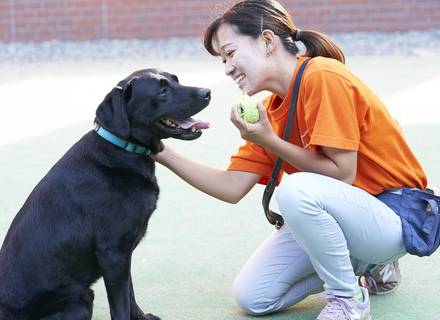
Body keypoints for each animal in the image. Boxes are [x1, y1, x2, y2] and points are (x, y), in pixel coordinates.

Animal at [0, 69, 211, 318]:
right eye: (162, 90)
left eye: (176, 80)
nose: (207, 92)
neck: (122, 149)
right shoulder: (113, 253)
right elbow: (120, 304)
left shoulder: (124, 253)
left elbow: (130, 294)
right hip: (80, 295)